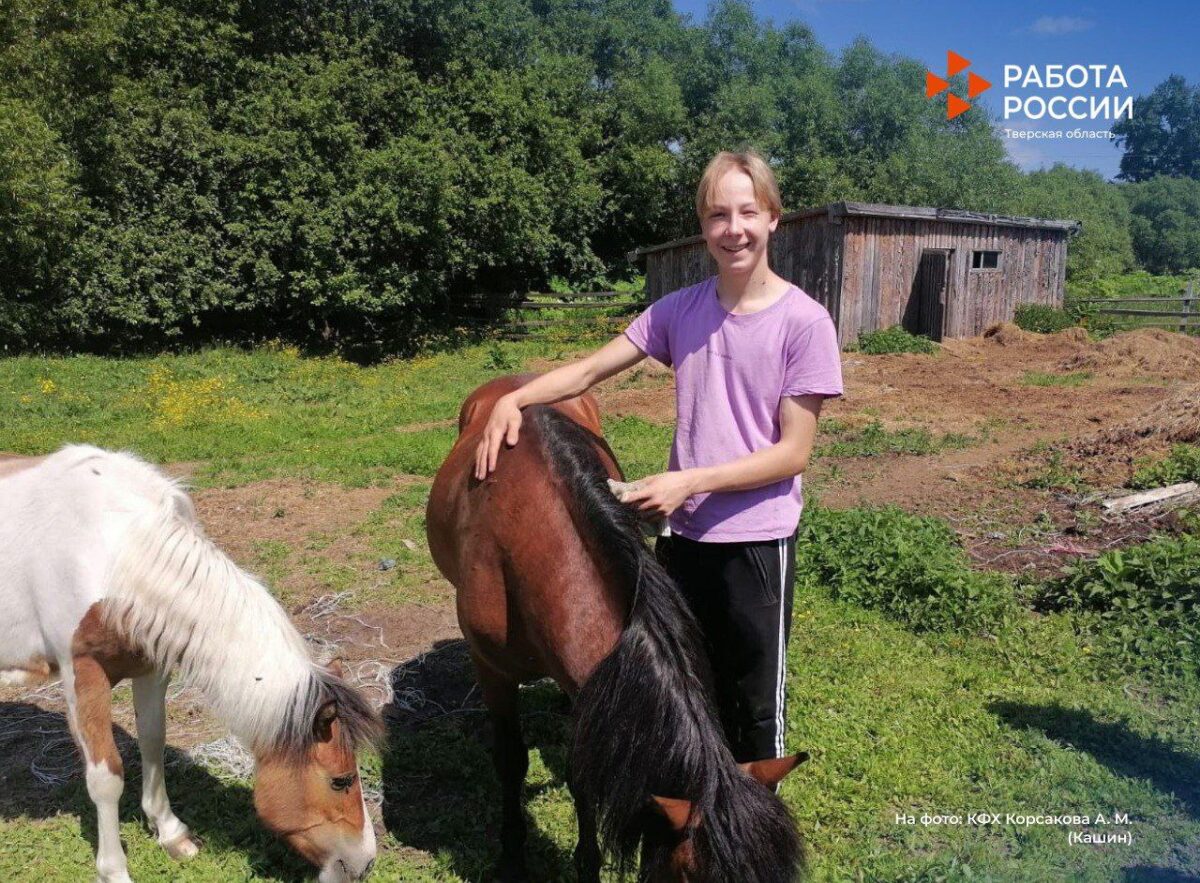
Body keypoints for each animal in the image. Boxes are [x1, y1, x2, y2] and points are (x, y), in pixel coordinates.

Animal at [0, 448, 379, 883]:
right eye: (340, 781)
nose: (365, 862)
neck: (115, 553)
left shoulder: (150, 664)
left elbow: (153, 740)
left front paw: (170, 833)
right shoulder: (83, 673)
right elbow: (106, 777)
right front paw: (114, 869)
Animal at [429, 376, 806, 883]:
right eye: (689, 876)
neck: (525, 543)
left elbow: (585, 772)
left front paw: (587, 863)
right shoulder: (491, 669)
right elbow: (510, 761)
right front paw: (510, 857)